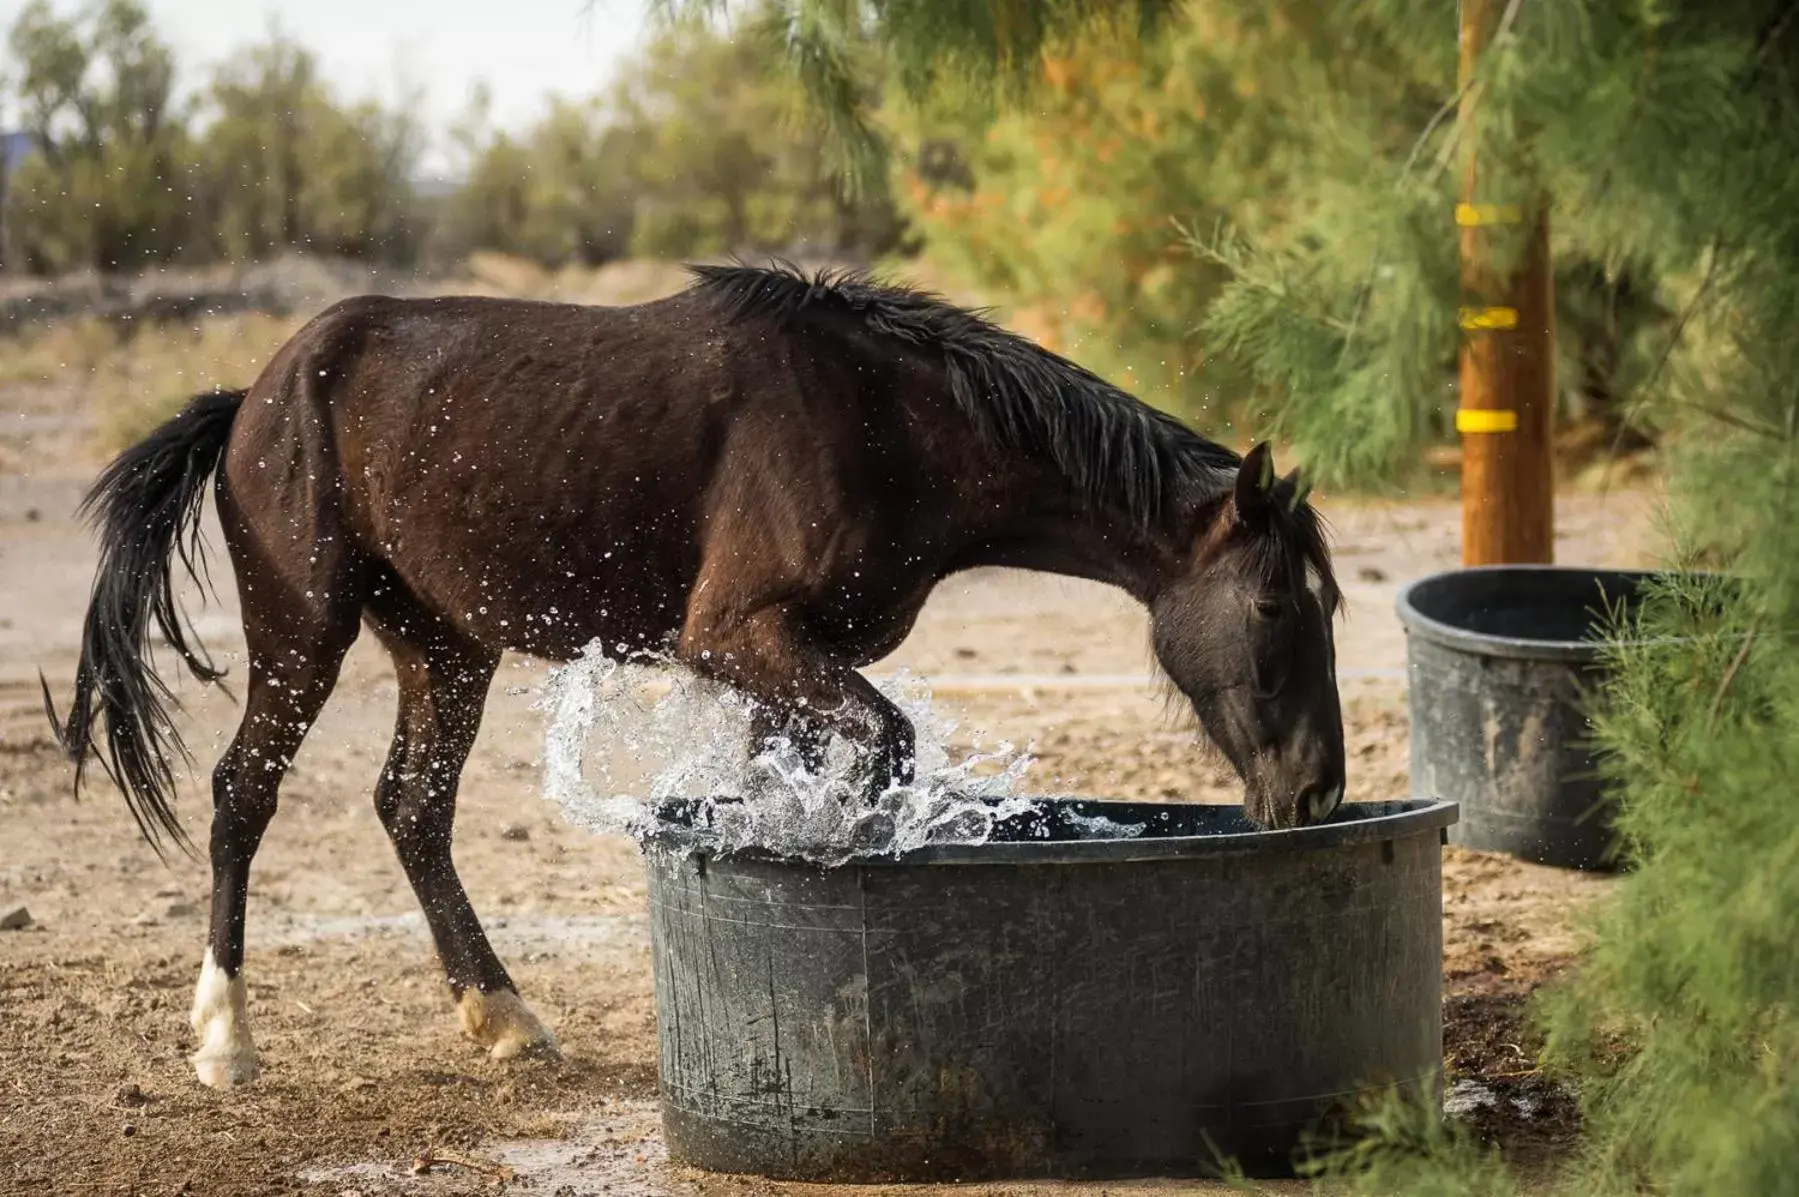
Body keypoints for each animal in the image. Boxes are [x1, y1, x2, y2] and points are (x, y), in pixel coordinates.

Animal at [42, 261, 1345, 1094]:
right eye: (1275, 605)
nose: (1316, 793)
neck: (888, 424)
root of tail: (249, 398)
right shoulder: (739, 638)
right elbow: (883, 751)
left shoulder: (785, 663)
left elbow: (796, 779)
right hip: (302, 631)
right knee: (243, 795)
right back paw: (225, 1040)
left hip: (443, 646)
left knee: (412, 810)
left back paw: (504, 1019)